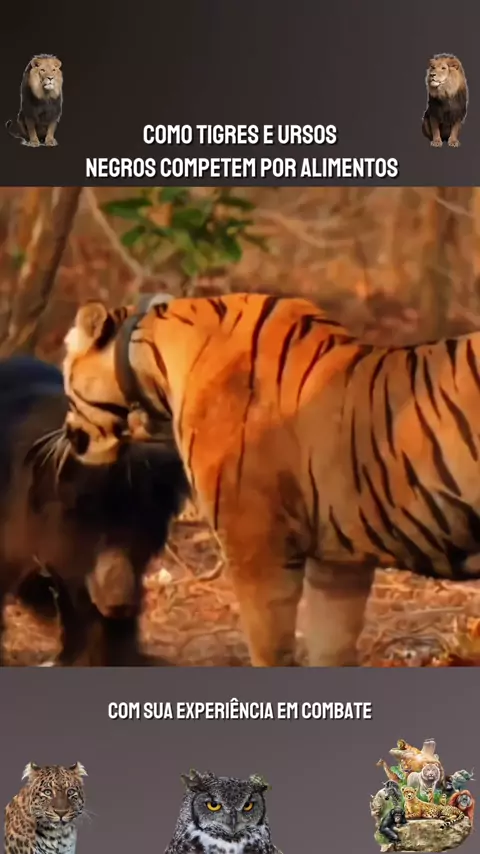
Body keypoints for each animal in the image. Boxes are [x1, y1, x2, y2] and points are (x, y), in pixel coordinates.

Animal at [61, 291, 480, 667]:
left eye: (65, 377)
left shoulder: (256, 547)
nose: (66, 434)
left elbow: (269, 650)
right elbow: (330, 649)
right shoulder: (338, 564)